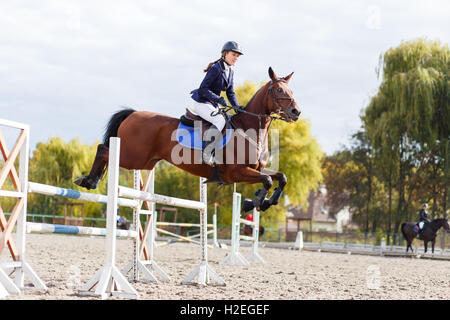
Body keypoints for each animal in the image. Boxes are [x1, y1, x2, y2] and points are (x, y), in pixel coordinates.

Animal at [74, 67, 302, 212]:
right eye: (279, 90)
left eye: (292, 90)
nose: (296, 112)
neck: (249, 128)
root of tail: (134, 113)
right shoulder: (236, 172)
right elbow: (268, 180)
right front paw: (252, 203)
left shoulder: (255, 169)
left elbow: (281, 177)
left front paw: (264, 202)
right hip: (132, 157)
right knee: (103, 149)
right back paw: (88, 180)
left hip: (144, 161)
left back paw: (90, 180)